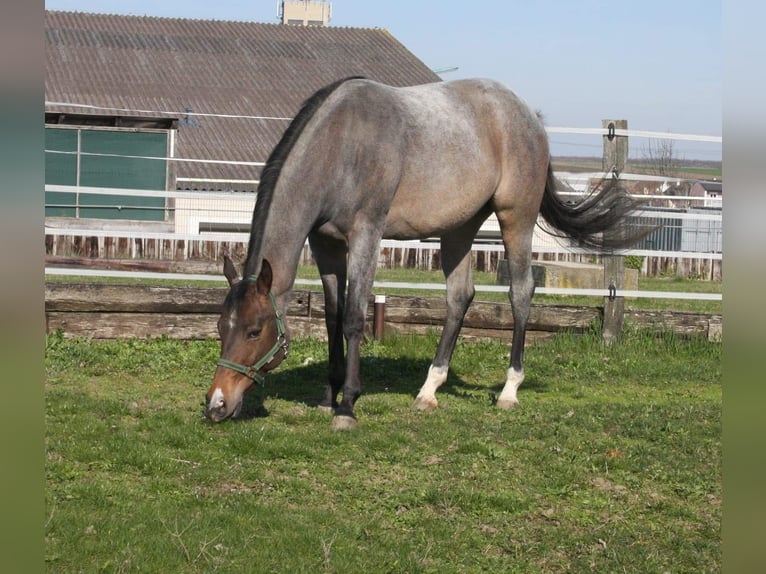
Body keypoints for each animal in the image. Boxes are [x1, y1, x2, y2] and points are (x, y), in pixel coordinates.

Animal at [204, 76, 642, 429]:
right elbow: (331, 318)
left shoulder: (366, 234)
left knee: (521, 292)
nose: (216, 405)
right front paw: (328, 397)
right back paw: (429, 389)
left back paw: (509, 389)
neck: (341, 144)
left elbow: (354, 317)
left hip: (516, 216)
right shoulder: (325, 244)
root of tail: (528, 116)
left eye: (254, 331)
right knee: (459, 297)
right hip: (459, 228)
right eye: (221, 327)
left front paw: (347, 405)